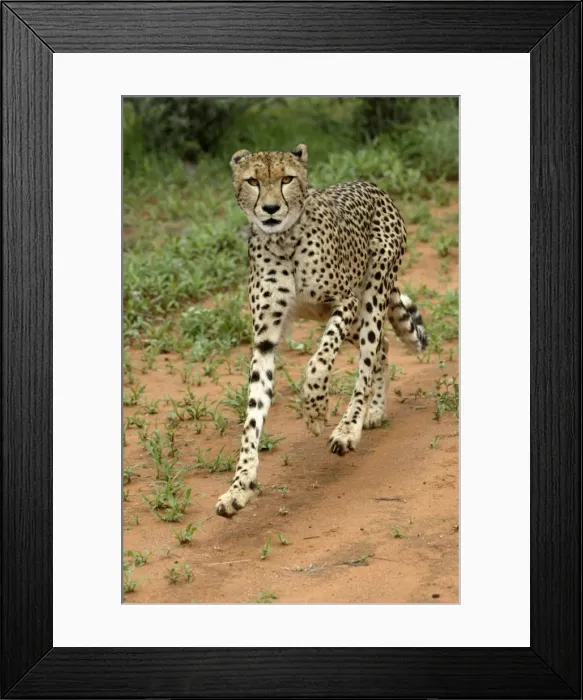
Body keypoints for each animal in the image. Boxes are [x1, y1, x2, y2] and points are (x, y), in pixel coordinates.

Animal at [215, 143, 427, 518]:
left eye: (287, 178)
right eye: (253, 181)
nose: (271, 209)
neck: (283, 240)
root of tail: (368, 184)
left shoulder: (344, 302)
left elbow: (319, 360)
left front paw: (314, 410)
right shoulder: (265, 339)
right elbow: (253, 416)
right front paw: (239, 487)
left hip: (371, 295)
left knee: (369, 356)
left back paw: (349, 428)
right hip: (357, 317)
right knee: (383, 347)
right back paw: (375, 410)